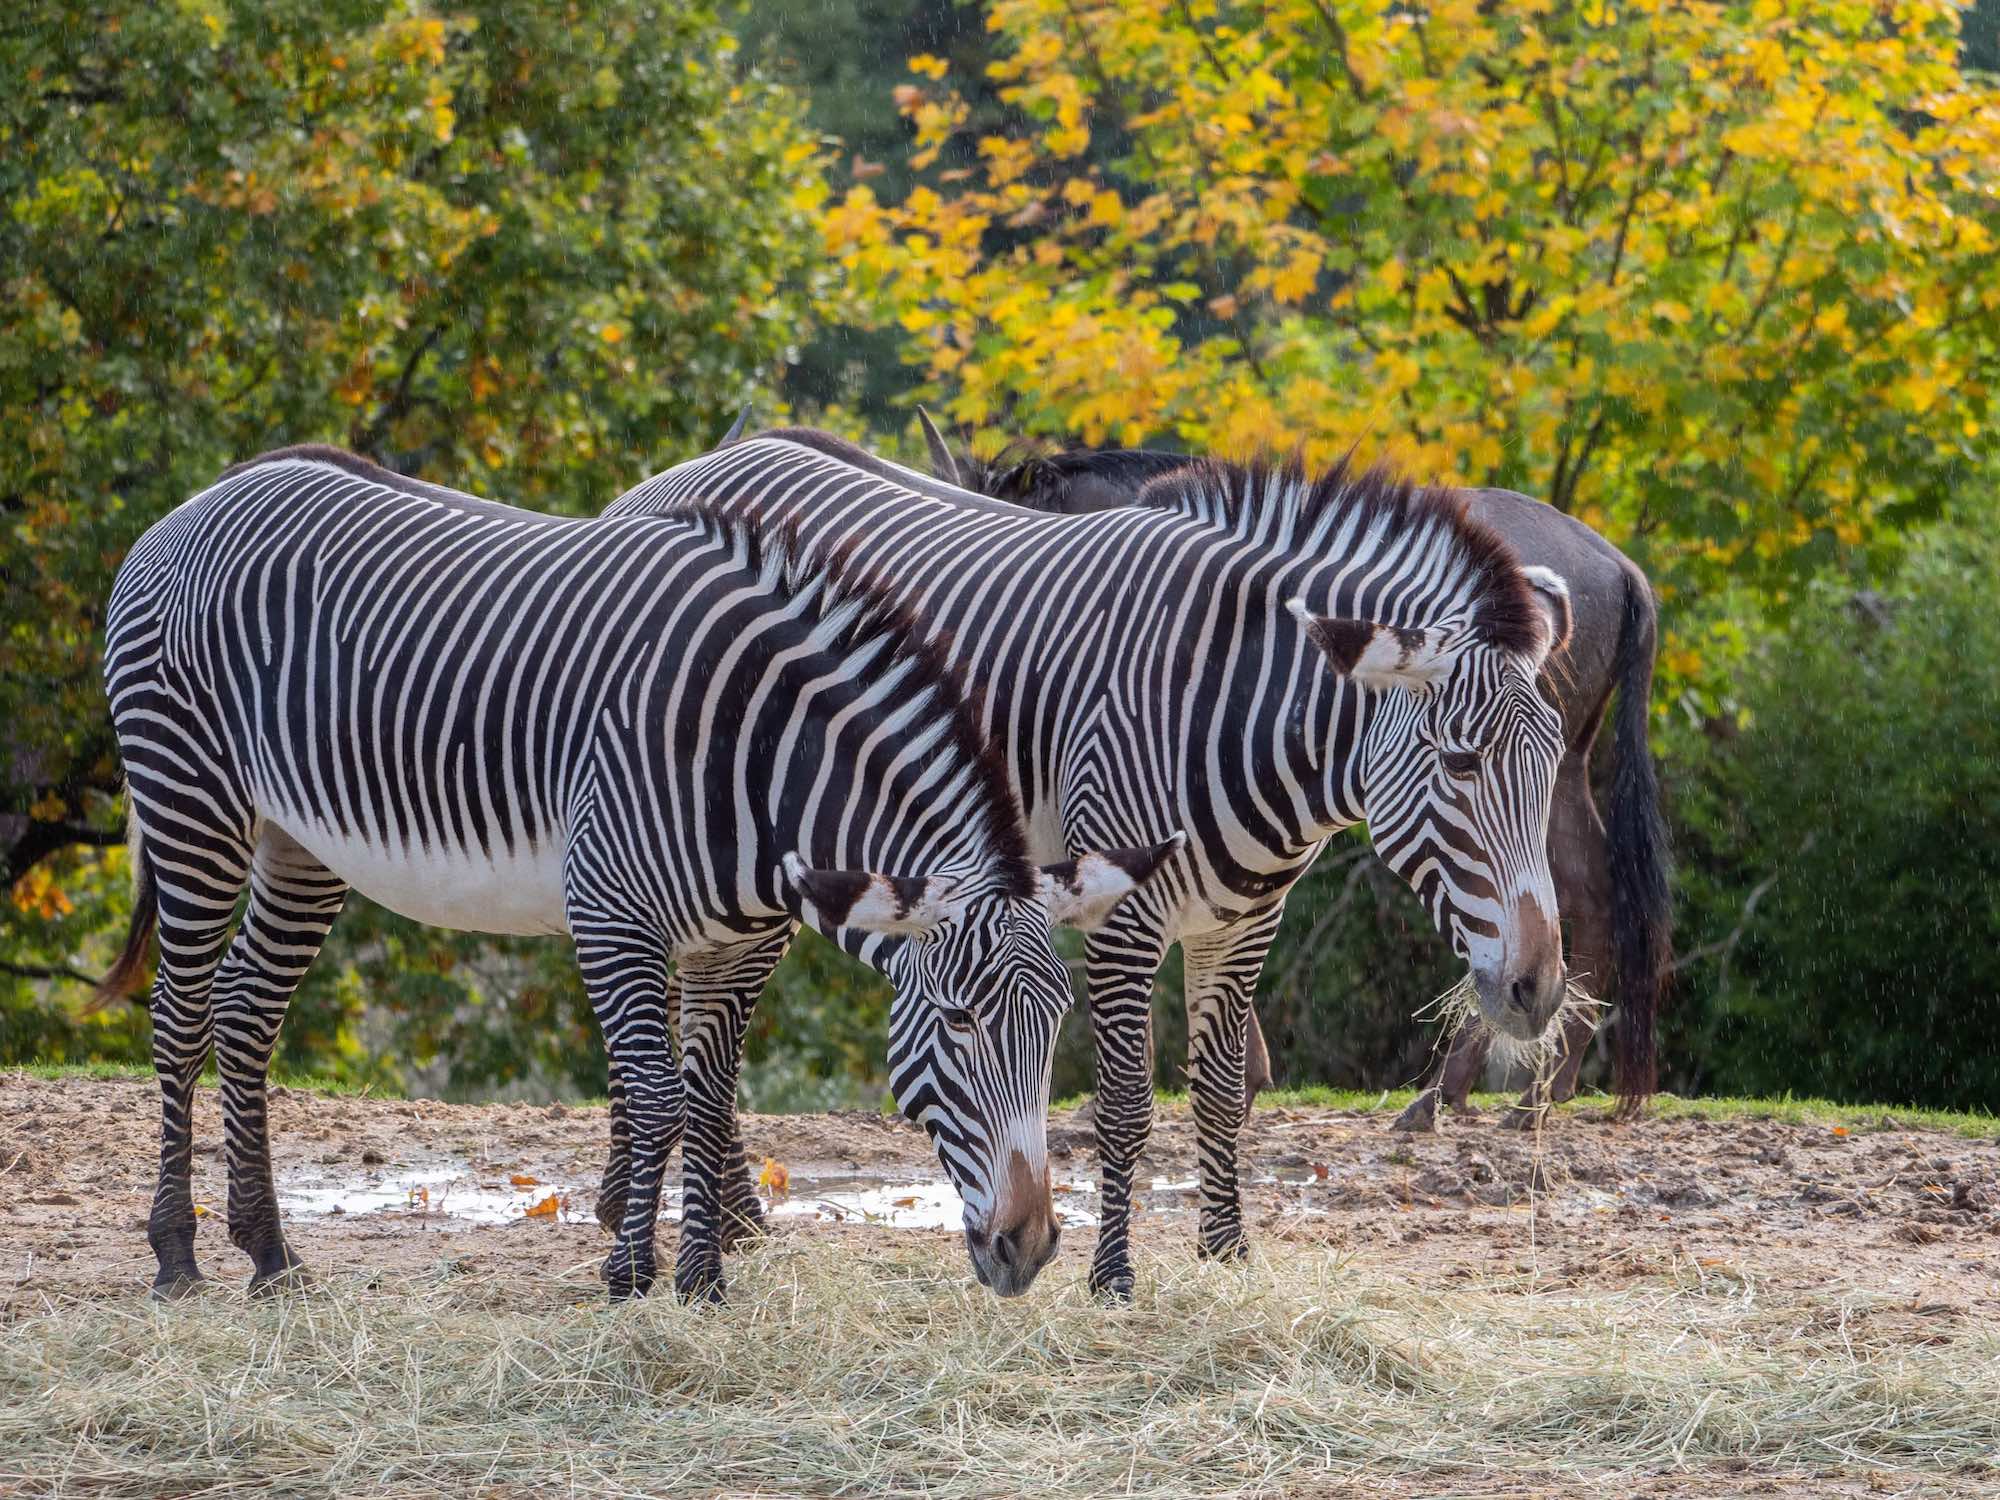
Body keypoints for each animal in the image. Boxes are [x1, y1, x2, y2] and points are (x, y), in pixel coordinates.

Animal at [97, 446, 1184, 1304]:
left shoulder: (733, 942)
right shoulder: (613, 917)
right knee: (181, 1016)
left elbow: (706, 1098)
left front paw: (703, 1281)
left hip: (299, 842)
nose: (1028, 1250)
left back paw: (270, 1257)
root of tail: (199, 501)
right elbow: (660, 1098)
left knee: (244, 1011)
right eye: (959, 1022)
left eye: (1054, 1024)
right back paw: (177, 1259)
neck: (757, 759)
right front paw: (631, 1275)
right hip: (191, 801)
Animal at [600, 432, 1568, 1304]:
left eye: (1555, 762)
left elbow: (1221, 1092)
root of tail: (675, 474)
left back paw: (703, 1220)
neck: (1227, 697)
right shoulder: (1122, 916)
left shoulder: (1243, 922)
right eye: (1462, 762)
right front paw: (1113, 1280)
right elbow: (1126, 1106)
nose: (1539, 991)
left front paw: (1228, 1255)